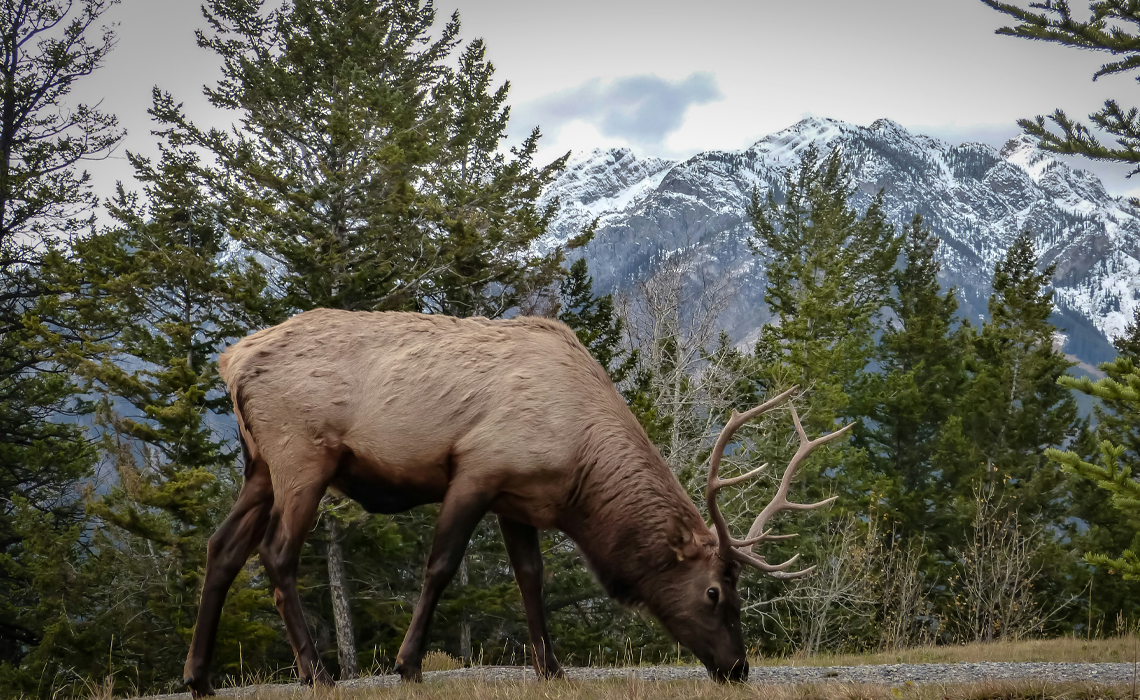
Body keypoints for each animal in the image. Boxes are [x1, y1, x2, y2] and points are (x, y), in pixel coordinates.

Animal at [182, 309, 850, 696]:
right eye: (715, 593)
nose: (739, 668)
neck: (581, 469)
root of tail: (231, 361)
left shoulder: (519, 498)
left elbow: (532, 576)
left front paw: (551, 667)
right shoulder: (478, 468)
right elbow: (440, 567)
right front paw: (407, 664)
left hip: (259, 466)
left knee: (221, 548)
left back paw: (198, 676)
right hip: (302, 454)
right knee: (275, 554)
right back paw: (316, 672)